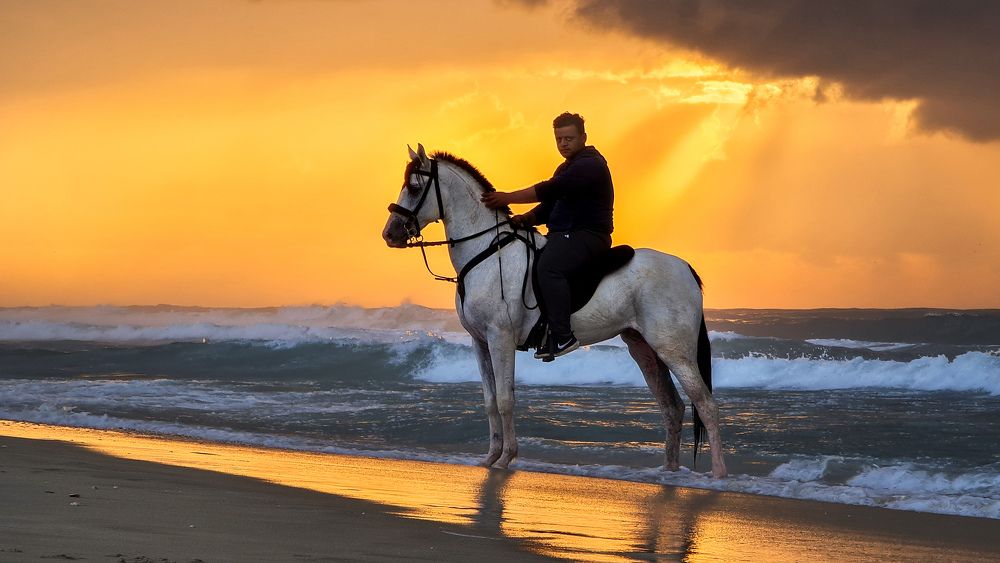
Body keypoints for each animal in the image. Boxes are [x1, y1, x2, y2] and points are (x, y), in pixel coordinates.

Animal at [382, 144, 727, 478]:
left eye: (414, 187)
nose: (390, 234)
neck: (488, 252)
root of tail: (685, 268)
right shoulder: (480, 341)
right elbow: (490, 401)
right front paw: (491, 457)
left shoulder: (500, 338)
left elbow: (505, 400)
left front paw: (506, 457)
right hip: (644, 349)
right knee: (672, 406)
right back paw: (669, 471)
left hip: (674, 349)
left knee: (705, 404)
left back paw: (719, 474)